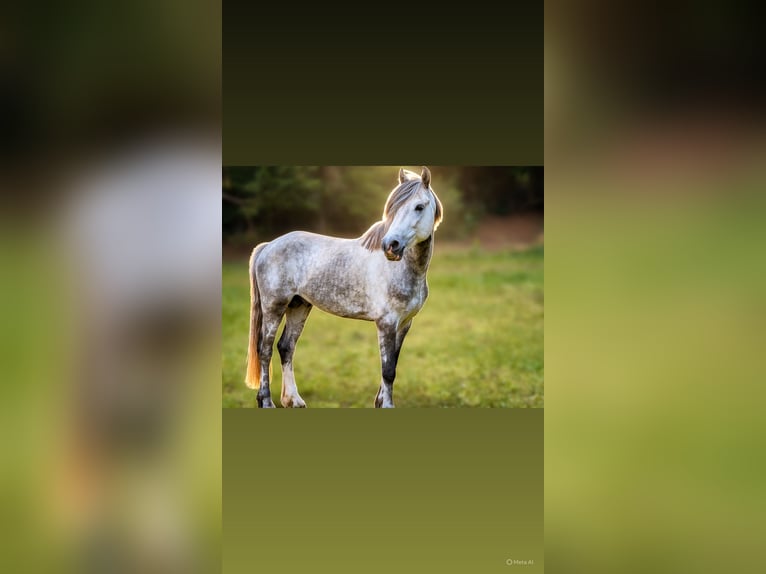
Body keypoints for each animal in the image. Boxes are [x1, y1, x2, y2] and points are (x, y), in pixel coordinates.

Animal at [245, 166, 443, 408]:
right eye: (393, 209)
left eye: (419, 207)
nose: (390, 245)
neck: (402, 269)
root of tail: (268, 246)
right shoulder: (386, 323)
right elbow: (388, 370)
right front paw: (386, 405)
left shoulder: (404, 323)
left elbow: (392, 365)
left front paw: (379, 402)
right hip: (274, 307)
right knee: (264, 350)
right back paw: (266, 402)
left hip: (299, 305)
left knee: (286, 347)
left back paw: (294, 400)